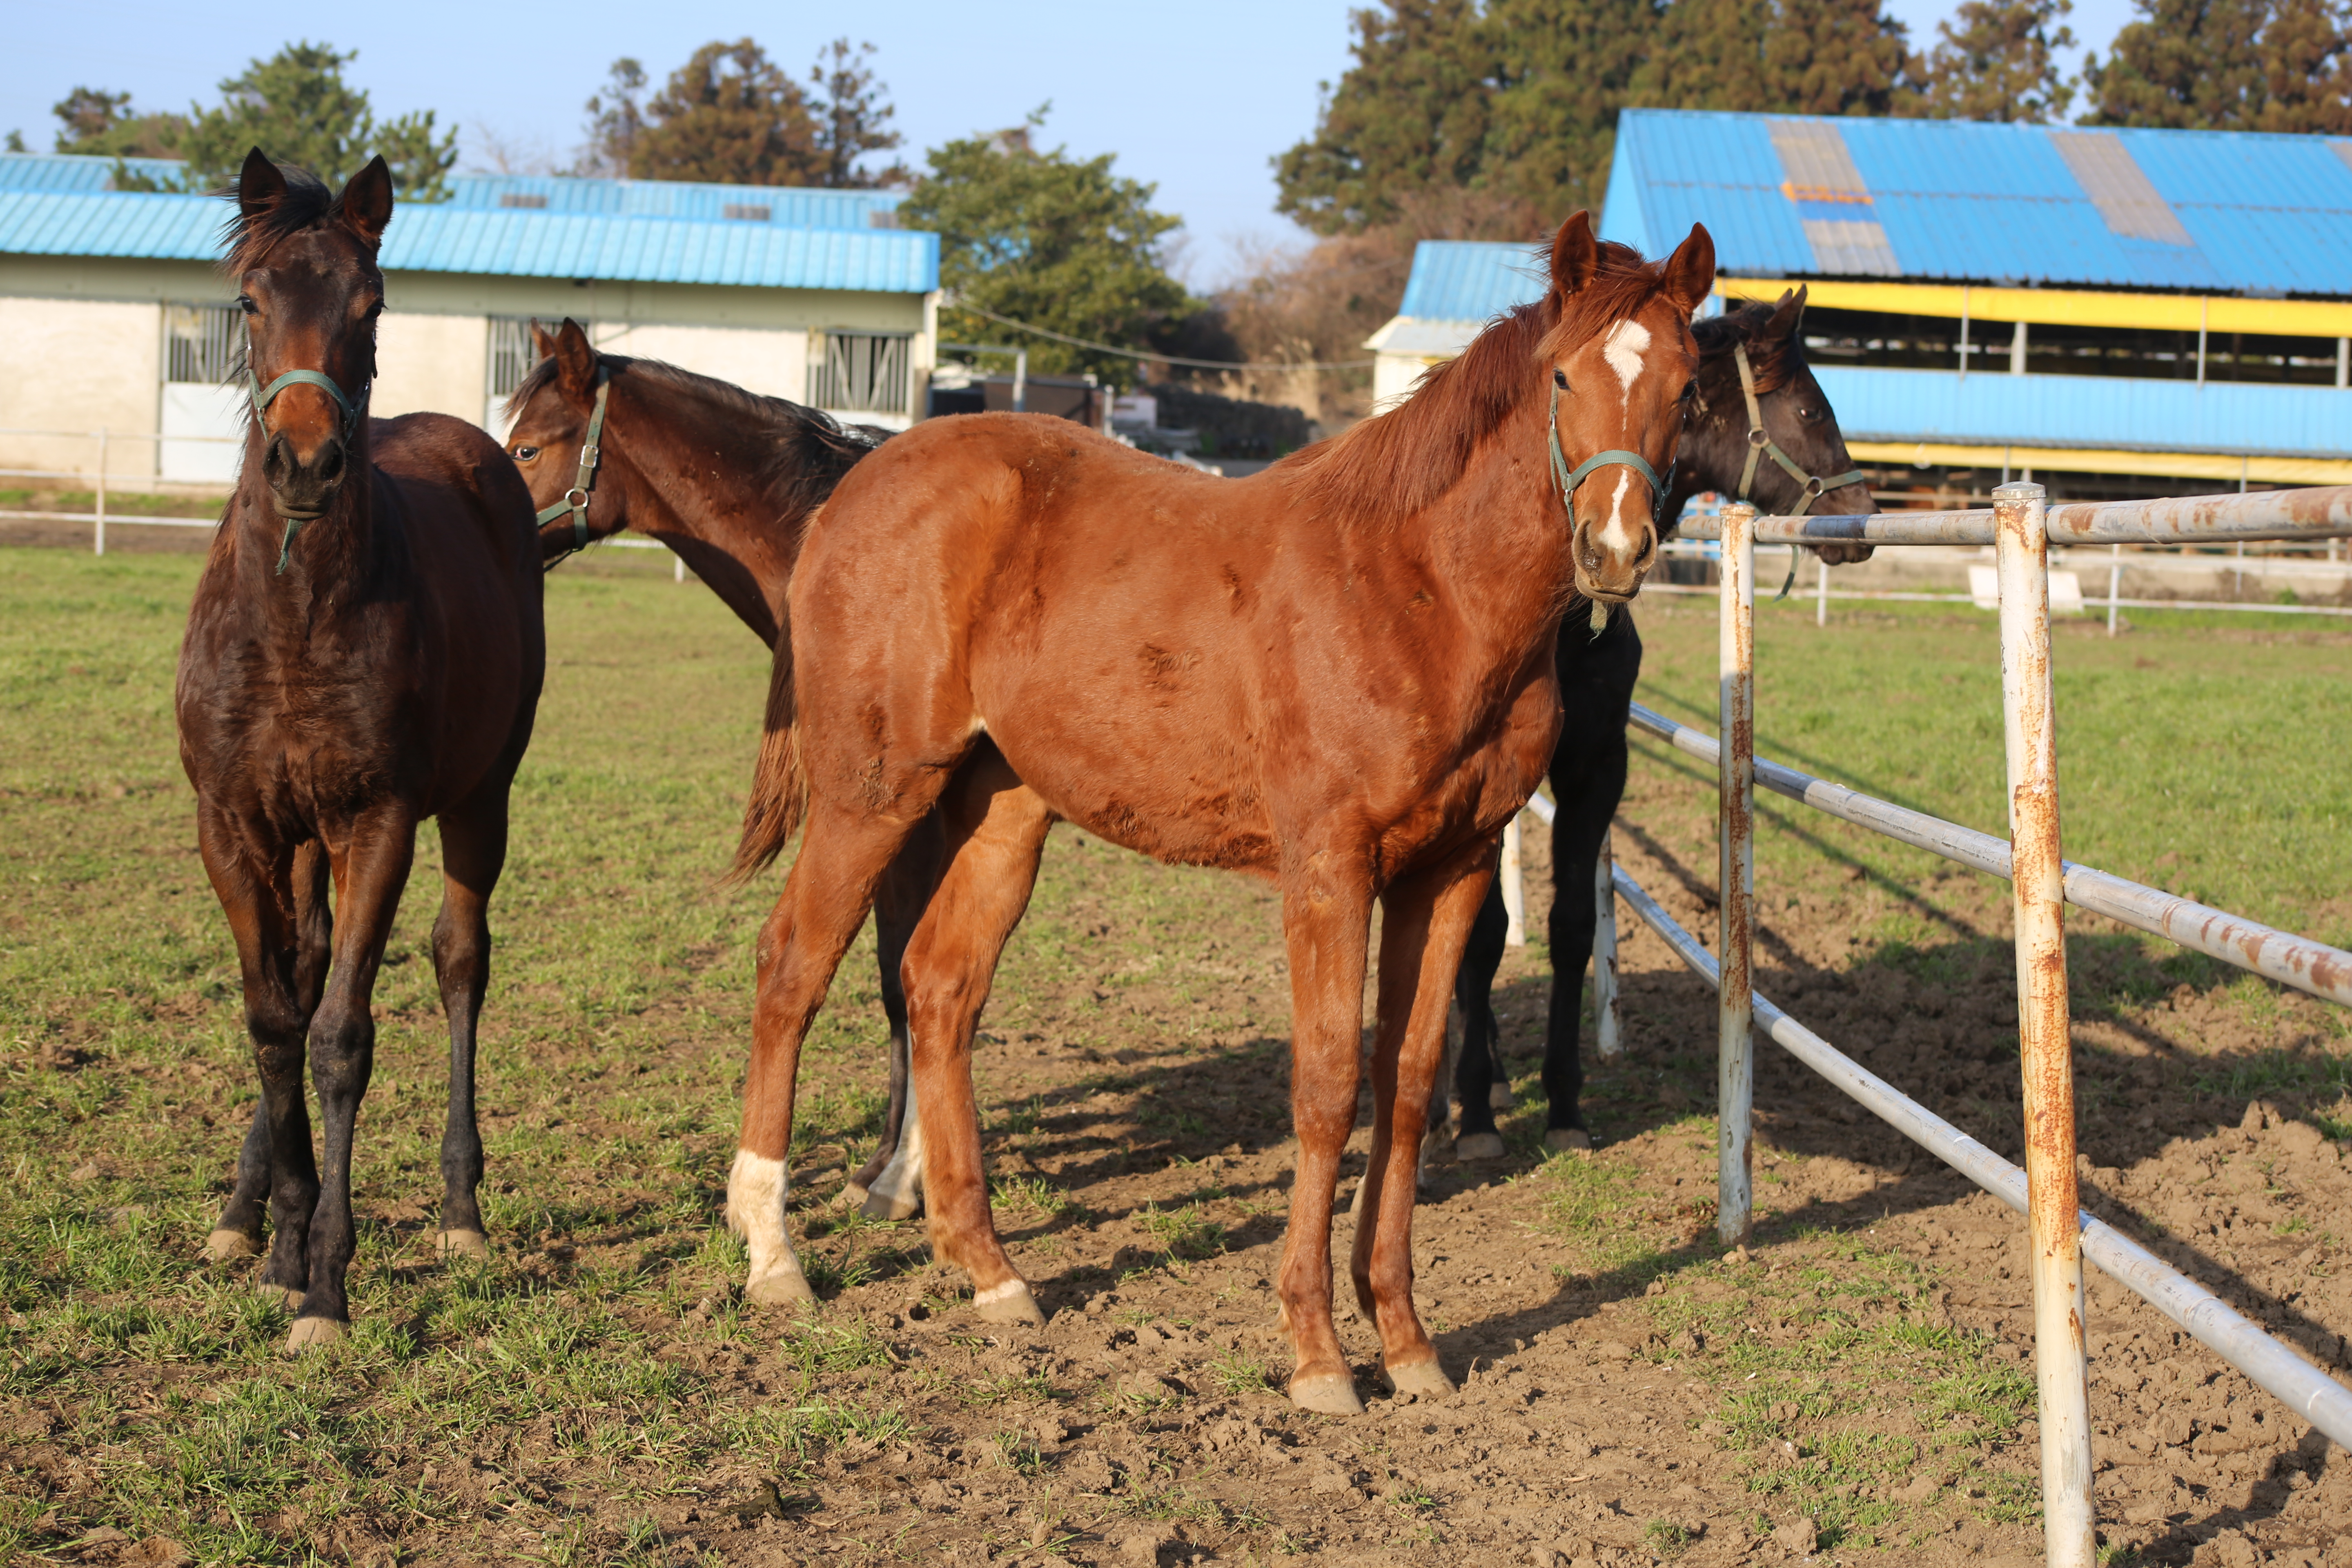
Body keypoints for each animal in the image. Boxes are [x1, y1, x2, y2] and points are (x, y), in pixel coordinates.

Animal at [178, 150, 546, 1354]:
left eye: (370, 306)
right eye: (250, 303)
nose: (305, 465)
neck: (293, 614)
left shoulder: (376, 821)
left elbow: (342, 1037)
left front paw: (327, 1288)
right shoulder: (235, 826)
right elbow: (272, 1020)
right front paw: (282, 1237)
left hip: (480, 800)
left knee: (459, 961)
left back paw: (462, 1211)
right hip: (298, 844)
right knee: (298, 975)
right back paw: (248, 1214)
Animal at [724, 215, 1722, 1420]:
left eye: (1685, 383)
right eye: (1564, 376)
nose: (1613, 554)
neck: (1417, 586)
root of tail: (856, 490)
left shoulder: (1453, 867)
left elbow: (1406, 1084)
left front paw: (1406, 1339)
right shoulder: (1329, 866)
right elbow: (1327, 1087)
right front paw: (1318, 1352)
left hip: (999, 811)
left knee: (939, 990)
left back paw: (989, 1269)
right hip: (872, 792)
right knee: (791, 968)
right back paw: (772, 1255)